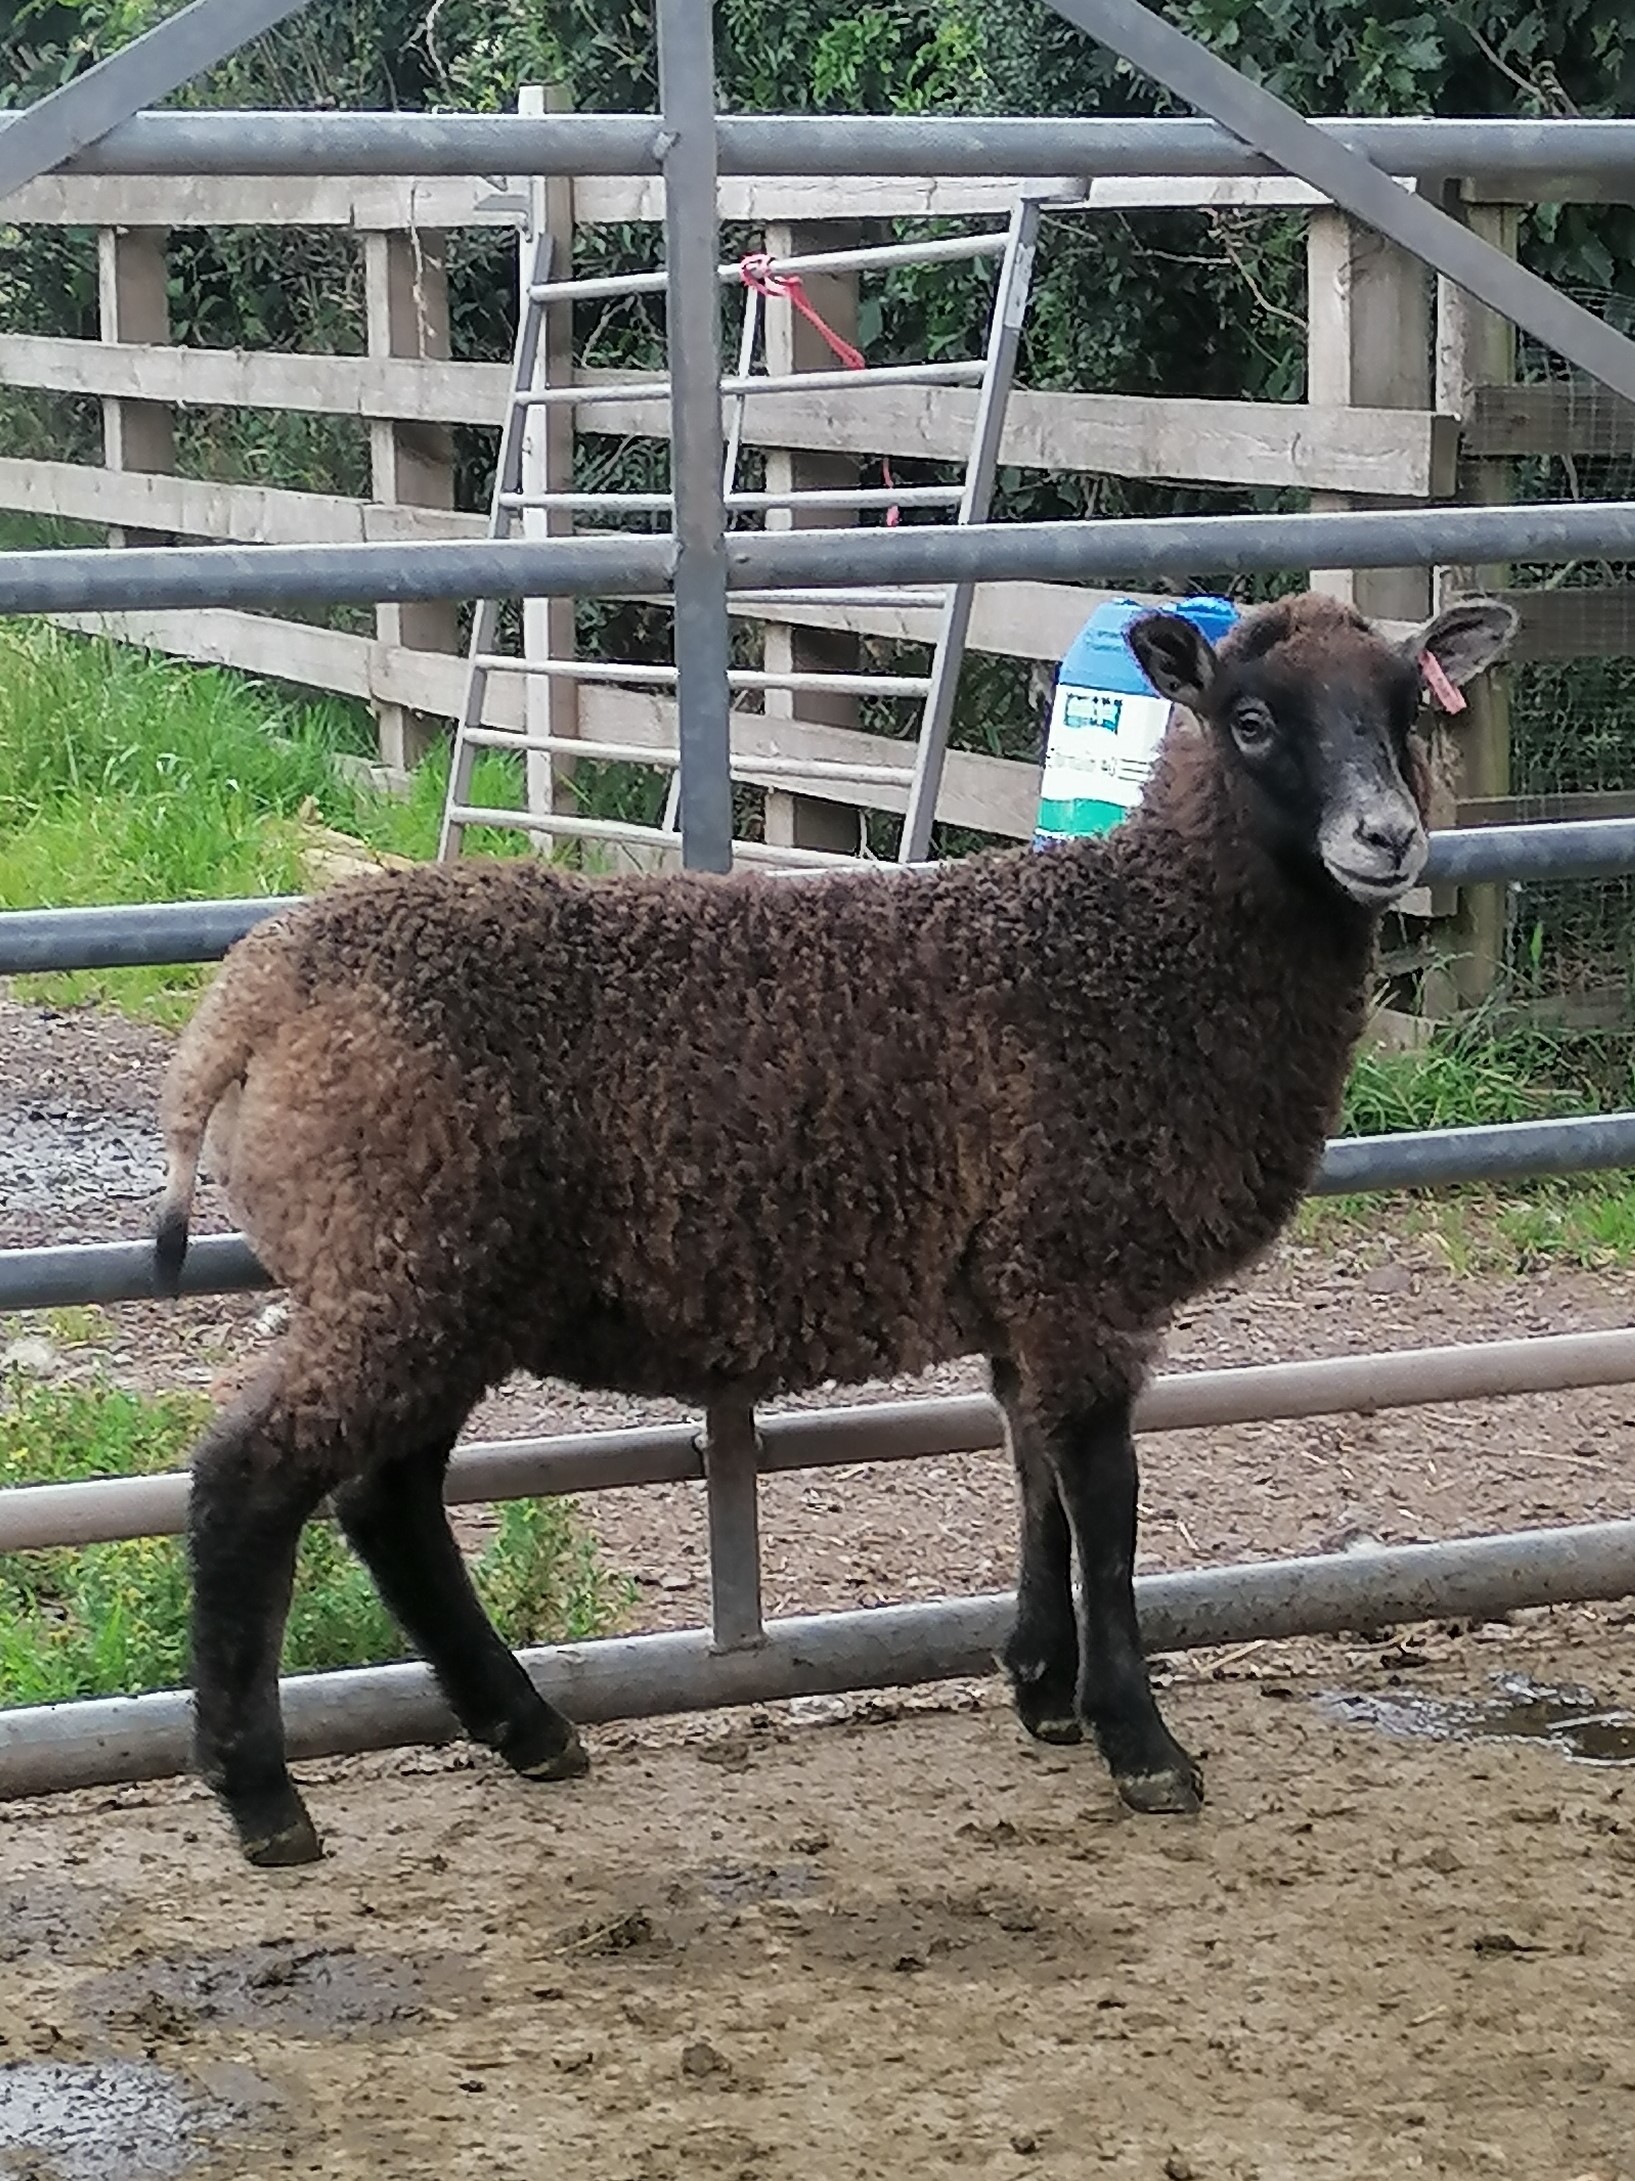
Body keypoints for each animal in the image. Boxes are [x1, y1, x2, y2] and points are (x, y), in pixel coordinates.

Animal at [153, 588, 1516, 1868]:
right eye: (1250, 720)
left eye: (1408, 707)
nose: (1389, 839)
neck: (1145, 948)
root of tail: (249, 1003)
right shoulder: (1079, 1269)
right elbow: (1106, 1506)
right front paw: (1140, 1745)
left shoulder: (1021, 1281)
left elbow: (1036, 1476)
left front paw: (1042, 1687)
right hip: (405, 1268)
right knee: (252, 1478)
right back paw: (264, 1798)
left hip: (434, 1279)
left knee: (388, 1497)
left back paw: (527, 1730)